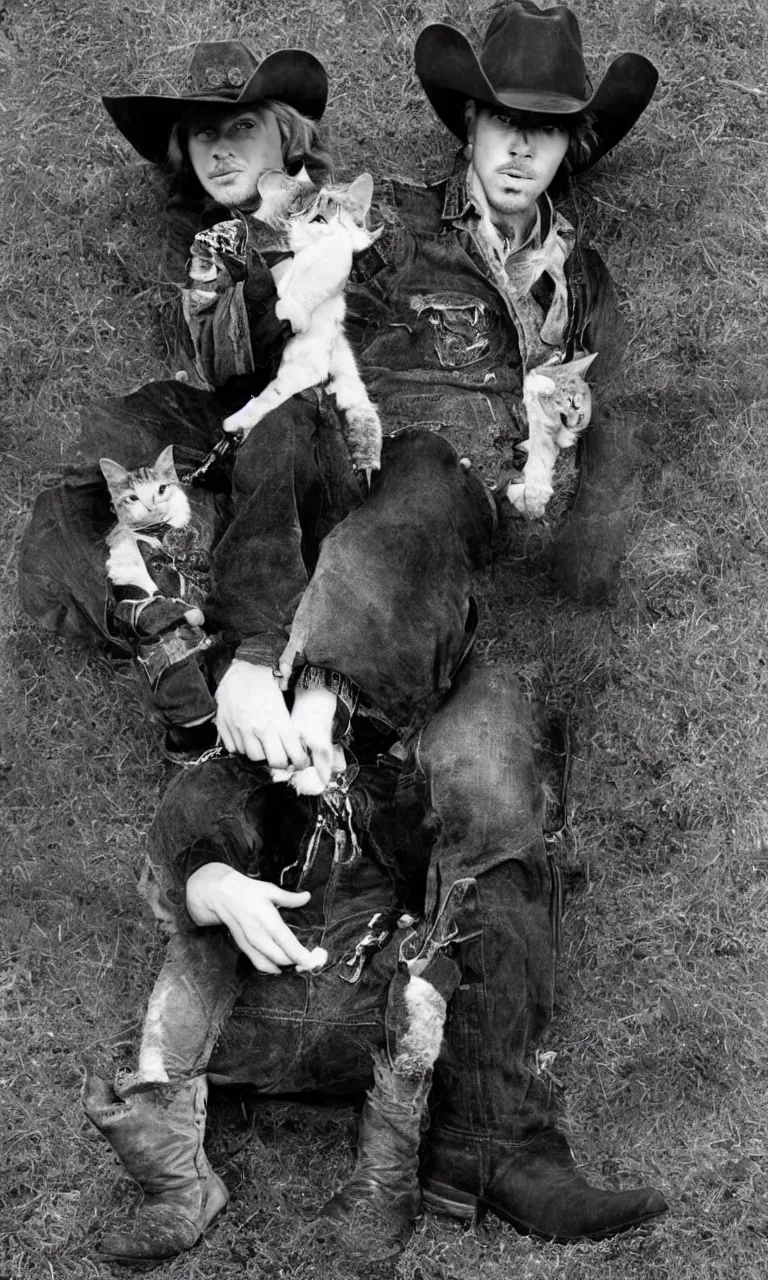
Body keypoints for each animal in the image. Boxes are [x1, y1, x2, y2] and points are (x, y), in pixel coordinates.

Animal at [509, 350, 599, 519]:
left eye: (581, 418)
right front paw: (548, 385)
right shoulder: (531, 385)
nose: (573, 423)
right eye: (574, 403)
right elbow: (535, 380)